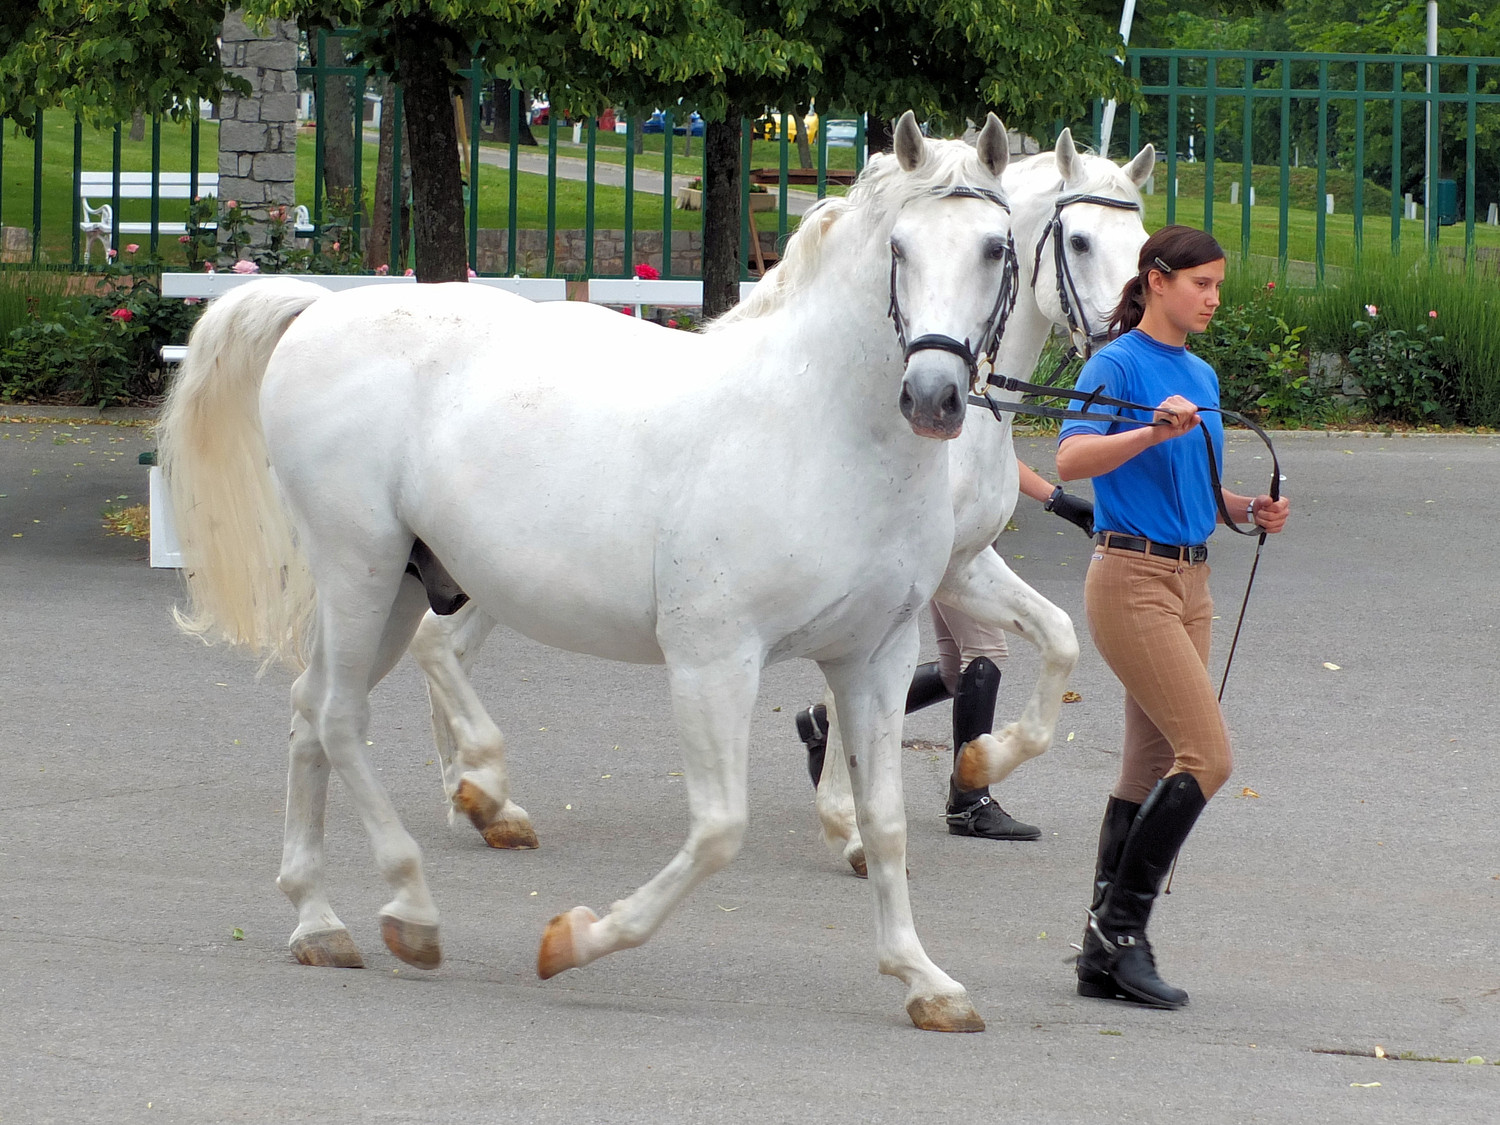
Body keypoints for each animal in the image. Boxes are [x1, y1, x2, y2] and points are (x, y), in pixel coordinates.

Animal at [164, 117, 1026, 1038]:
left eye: (995, 247)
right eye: (899, 247)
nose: (932, 396)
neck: (815, 427)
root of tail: (322, 308)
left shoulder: (875, 659)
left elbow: (886, 823)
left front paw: (925, 980)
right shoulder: (713, 662)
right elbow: (719, 829)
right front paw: (574, 939)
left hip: (393, 587)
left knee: (309, 713)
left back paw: (316, 918)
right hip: (358, 568)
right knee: (338, 716)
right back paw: (412, 908)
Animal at [405, 127, 1152, 876]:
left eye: (1143, 238)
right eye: (1079, 240)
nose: (1130, 342)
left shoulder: (960, 567)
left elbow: (1056, 637)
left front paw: (975, 768)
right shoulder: (908, 585)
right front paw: (850, 821)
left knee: (441, 646)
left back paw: (476, 798)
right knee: (434, 643)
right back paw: (481, 794)